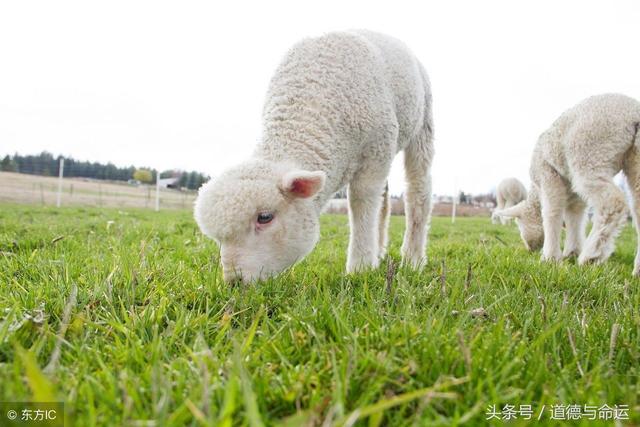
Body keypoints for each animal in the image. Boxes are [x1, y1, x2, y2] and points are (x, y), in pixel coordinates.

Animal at [194, 30, 436, 284]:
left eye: (265, 217)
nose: (234, 282)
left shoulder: (376, 148)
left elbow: (362, 202)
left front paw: (359, 269)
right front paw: (368, 261)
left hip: (422, 124)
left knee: (417, 191)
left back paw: (413, 259)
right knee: (385, 198)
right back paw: (379, 252)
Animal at [496, 93, 640, 274]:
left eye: (519, 226)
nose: (530, 249)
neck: (535, 191)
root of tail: (633, 114)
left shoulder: (548, 174)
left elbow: (552, 212)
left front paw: (550, 257)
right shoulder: (573, 191)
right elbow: (575, 217)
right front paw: (572, 252)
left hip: (590, 153)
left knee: (612, 203)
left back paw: (590, 256)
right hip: (633, 158)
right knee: (637, 207)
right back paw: (637, 270)